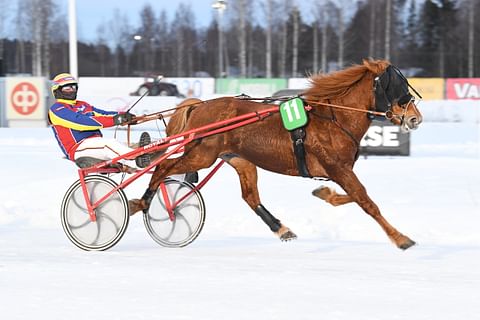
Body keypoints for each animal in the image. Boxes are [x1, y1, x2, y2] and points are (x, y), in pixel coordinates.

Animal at [129, 59, 422, 250]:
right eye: (396, 87)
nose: (415, 118)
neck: (334, 118)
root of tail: (200, 105)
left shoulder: (339, 171)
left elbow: (353, 197)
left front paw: (324, 193)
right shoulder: (339, 168)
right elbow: (366, 201)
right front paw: (401, 239)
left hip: (240, 160)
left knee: (250, 197)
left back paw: (282, 229)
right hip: (202, 154)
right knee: (162, 168)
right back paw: (143, 203)